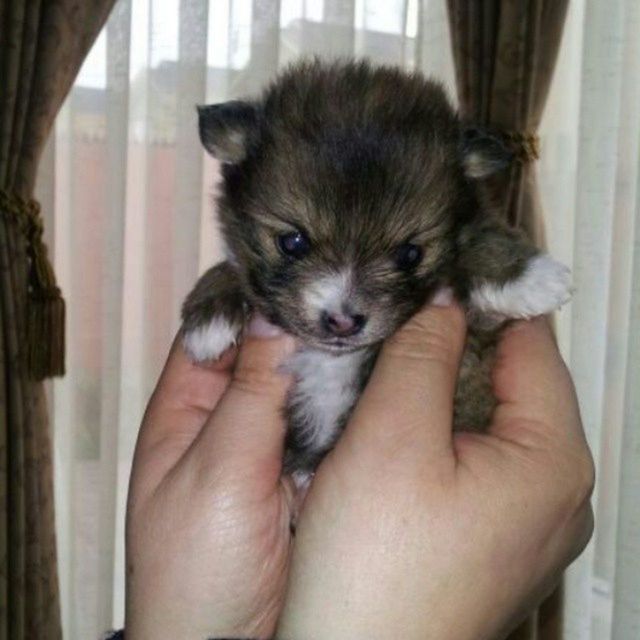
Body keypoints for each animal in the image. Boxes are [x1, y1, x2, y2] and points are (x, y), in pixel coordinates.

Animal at [180, 61, 568, 480]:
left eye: (410, 254)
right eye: (293, 242)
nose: (342, 321)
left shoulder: (479, 340)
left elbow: (478, 243)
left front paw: (529, 276)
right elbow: (230, 266)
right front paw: (209, 318)